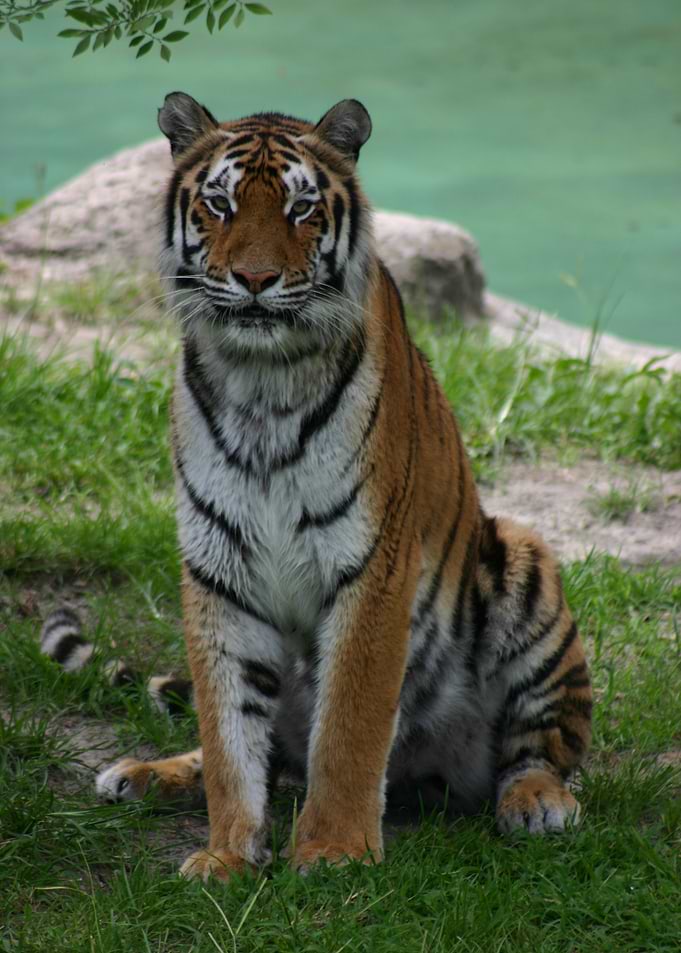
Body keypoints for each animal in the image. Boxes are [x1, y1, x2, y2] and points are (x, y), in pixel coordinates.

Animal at [44, 92, 592, 882]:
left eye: (301, 209)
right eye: (219, 203)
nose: (255, 280)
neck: (261, 382)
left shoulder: (371, 567)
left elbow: (349, 727)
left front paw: (334, 851)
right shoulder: (219, 569)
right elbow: (228, 732)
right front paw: (226, 854)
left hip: (522, 564)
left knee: (541, 745)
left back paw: (536, 802)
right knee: (252, 750)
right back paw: (145, 773)